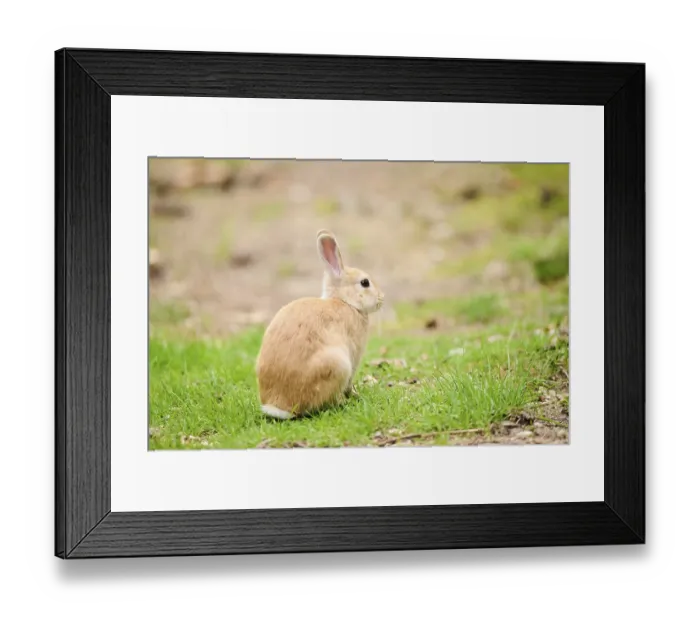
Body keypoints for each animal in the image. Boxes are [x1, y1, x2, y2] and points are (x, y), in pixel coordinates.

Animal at [255, 229, 384, 420]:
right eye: (365, 282)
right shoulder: (354, 356)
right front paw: (355, 394)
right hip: (339, 365)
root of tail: (283, 406)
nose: (381, 298)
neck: (346, 302)